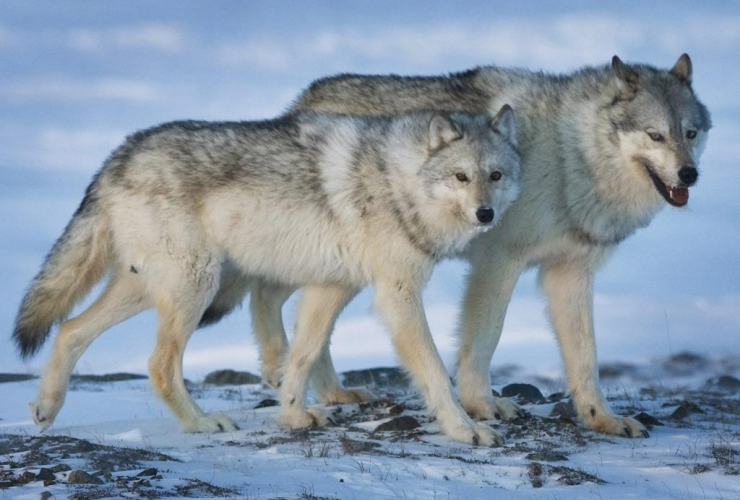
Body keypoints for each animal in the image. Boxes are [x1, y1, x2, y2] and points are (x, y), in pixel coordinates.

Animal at [11, 109, 520, 446]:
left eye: (495, 175)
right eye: (460, 177)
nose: (486, 214)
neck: (399, 182)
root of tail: (118, 156)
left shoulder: (330, 288)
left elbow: (301, 356)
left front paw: (292, 416)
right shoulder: (398, 296)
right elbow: (434, 371)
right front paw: (465, 428)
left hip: (151, 287)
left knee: (70, 329)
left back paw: (46, 408)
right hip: (195, 285)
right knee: (157, 364)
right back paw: (201, 424)